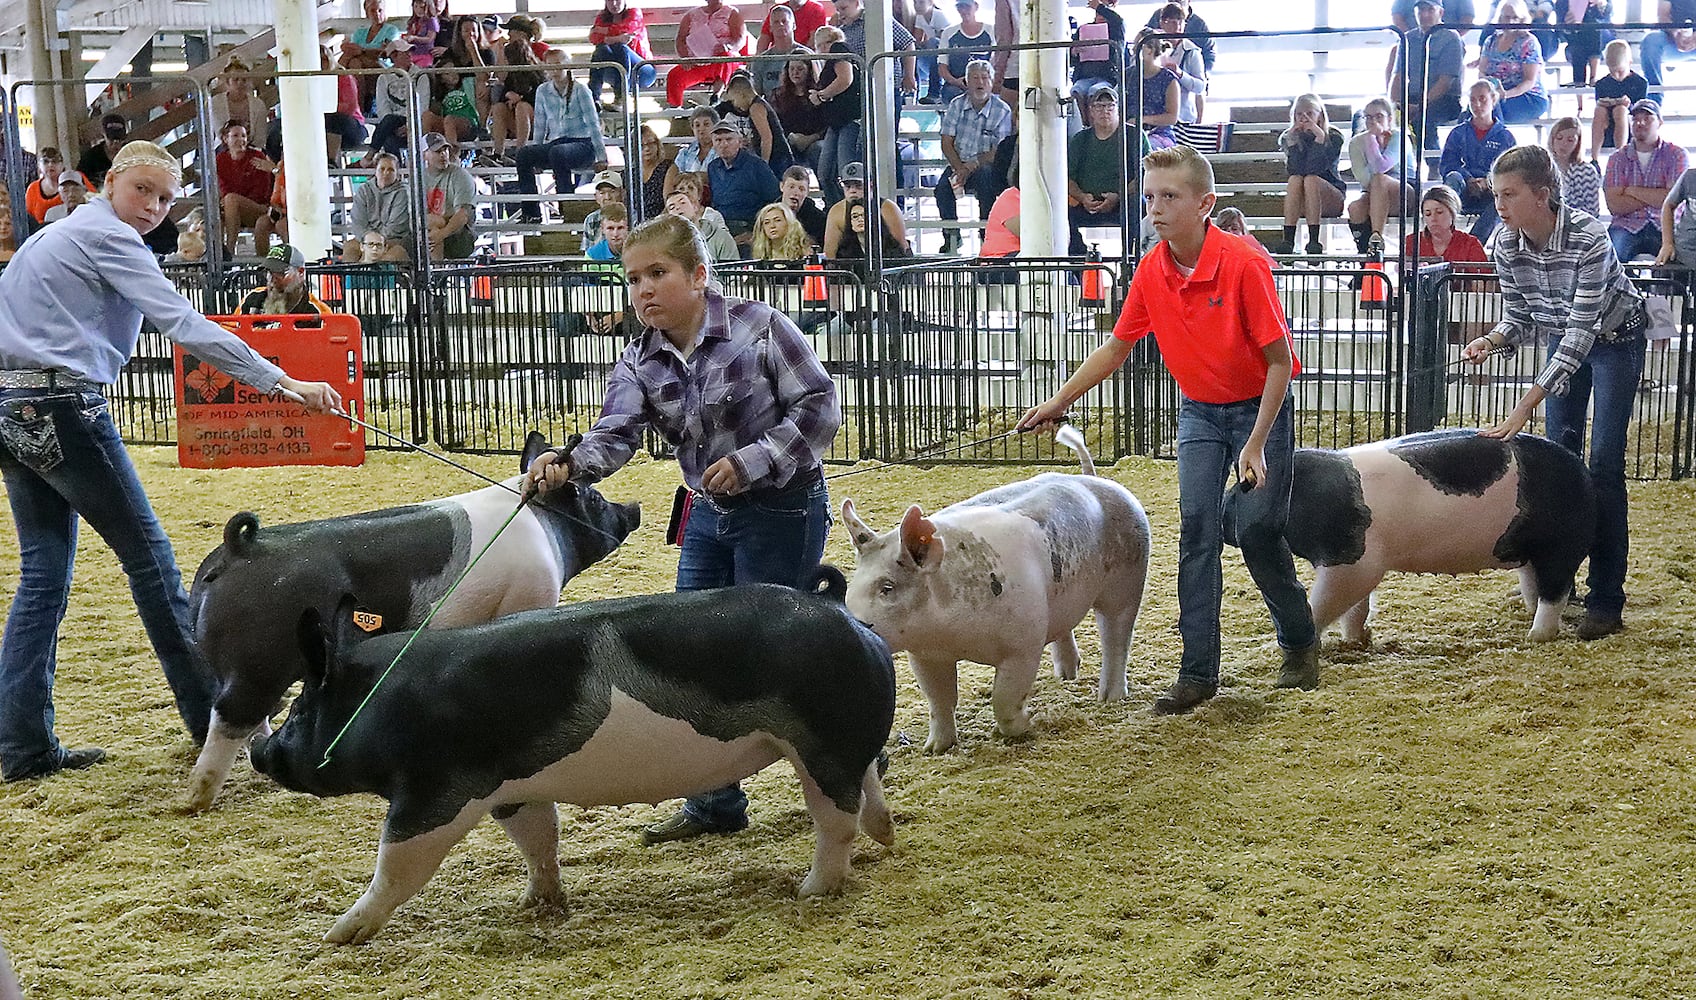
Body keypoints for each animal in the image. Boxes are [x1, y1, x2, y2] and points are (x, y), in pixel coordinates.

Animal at [182, 433, 637, 813]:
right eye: (593, 498)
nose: (633, 508)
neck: (546, 528)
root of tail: (238, 547)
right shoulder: (531, 595)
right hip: (256, 666)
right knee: (227, 717)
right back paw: (196, 801)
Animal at [251, 572, 902, 949]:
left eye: (302, 705)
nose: (259, 749)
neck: (389, 702)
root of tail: (848, 617)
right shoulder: (513, 787)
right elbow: (538, 839)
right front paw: (537, 904)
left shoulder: (436, 791)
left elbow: (396, 865)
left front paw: (337, 936)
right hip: (841, 745)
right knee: (869, 782)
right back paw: (886, 836)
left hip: (820, 746)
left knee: (836, 821)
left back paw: (810, 891)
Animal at [844, 427, 1153, 755]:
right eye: (851, 588)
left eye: (887, 587)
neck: (953, 636)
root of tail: (1095, 480)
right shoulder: (926, 654)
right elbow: (939, 700)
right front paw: (935, 748)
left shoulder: (1023, 645)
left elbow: (1003, 698)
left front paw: (1026, 726)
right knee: (1065, 629)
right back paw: (1066, 676)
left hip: (1128, 579)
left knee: (1116, 637)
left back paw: (1110, 698)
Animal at [1227, 430, 1594, 650]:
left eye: (1238, 492)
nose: (1223, 511)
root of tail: (1581, 469)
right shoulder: (1355, 562)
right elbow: (1356, 607)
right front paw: (1357, 640)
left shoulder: (1353, 560)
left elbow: (1326, 603)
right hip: (1531, 549)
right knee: (1535, 583)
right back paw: (1524, 610)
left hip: (1561, 544)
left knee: (1555, 591)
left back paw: (1535, 636)